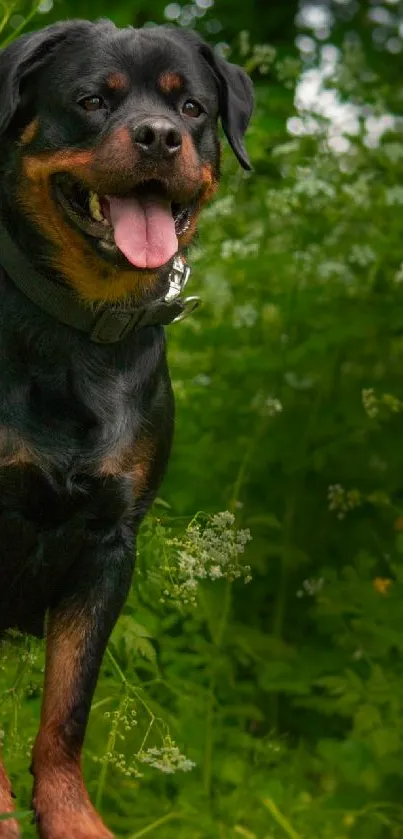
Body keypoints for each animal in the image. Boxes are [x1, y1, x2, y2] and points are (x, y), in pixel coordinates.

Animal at [0, 19, 252, 839]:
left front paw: (69, 814)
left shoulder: (111, 542)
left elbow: (66, 709)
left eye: (192, 108)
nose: (158, 136)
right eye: (91, 101)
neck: (79, 329)